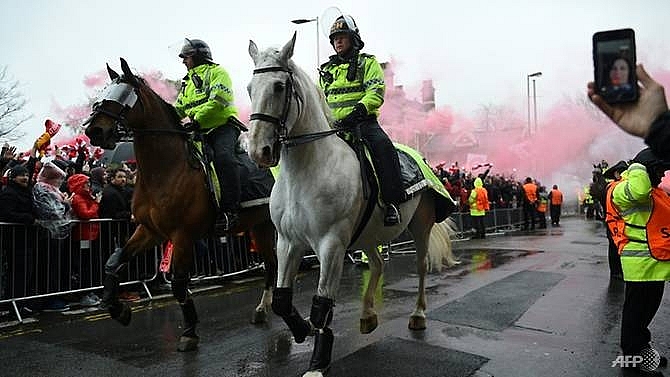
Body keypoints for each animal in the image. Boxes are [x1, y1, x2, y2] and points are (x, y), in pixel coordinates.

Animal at [84, 57, 278, 352]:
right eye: (106, 91)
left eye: (123, 94)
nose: (94, 130)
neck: (165, 170)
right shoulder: (150, 231)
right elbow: (114, 261)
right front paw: (118, 308)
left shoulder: (182, 235)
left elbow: (178, 284)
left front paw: (189, 332)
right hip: (259, 225)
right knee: (271, 263)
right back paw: (262, 309)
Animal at [249, 33, 460, 374]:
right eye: (249, 88)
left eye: (279, 87)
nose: (258, 151)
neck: (306, 171)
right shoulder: (287, 242)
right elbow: (281, 299)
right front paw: (303, 329)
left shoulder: (331, 244)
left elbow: (322, 304)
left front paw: (317, 361)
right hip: (368, 234)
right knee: (376, 264)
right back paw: (367, 316)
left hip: (420, 226)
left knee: (420, 266)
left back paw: (417, 315)